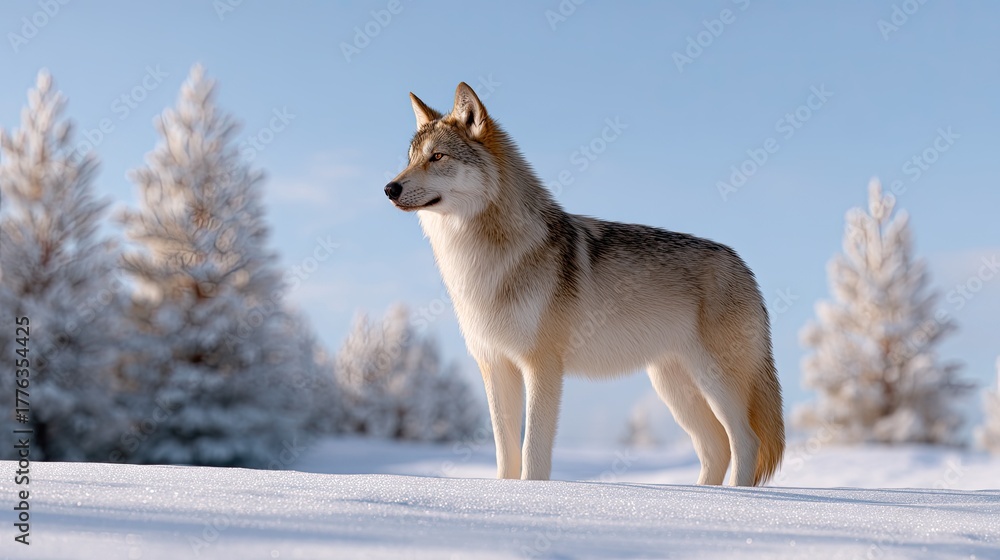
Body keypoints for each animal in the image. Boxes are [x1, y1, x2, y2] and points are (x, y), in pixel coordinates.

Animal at [384, 83, 784, 486]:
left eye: (437, 156)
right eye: (411, 158)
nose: (389, 188)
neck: (479, 262)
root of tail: (743, 265)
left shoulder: (542, 366)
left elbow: (533, 453)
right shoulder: (495, 365)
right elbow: (505, 454)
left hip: (713, 381)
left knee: (744, 441)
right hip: (673, 387)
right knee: (716, 447)